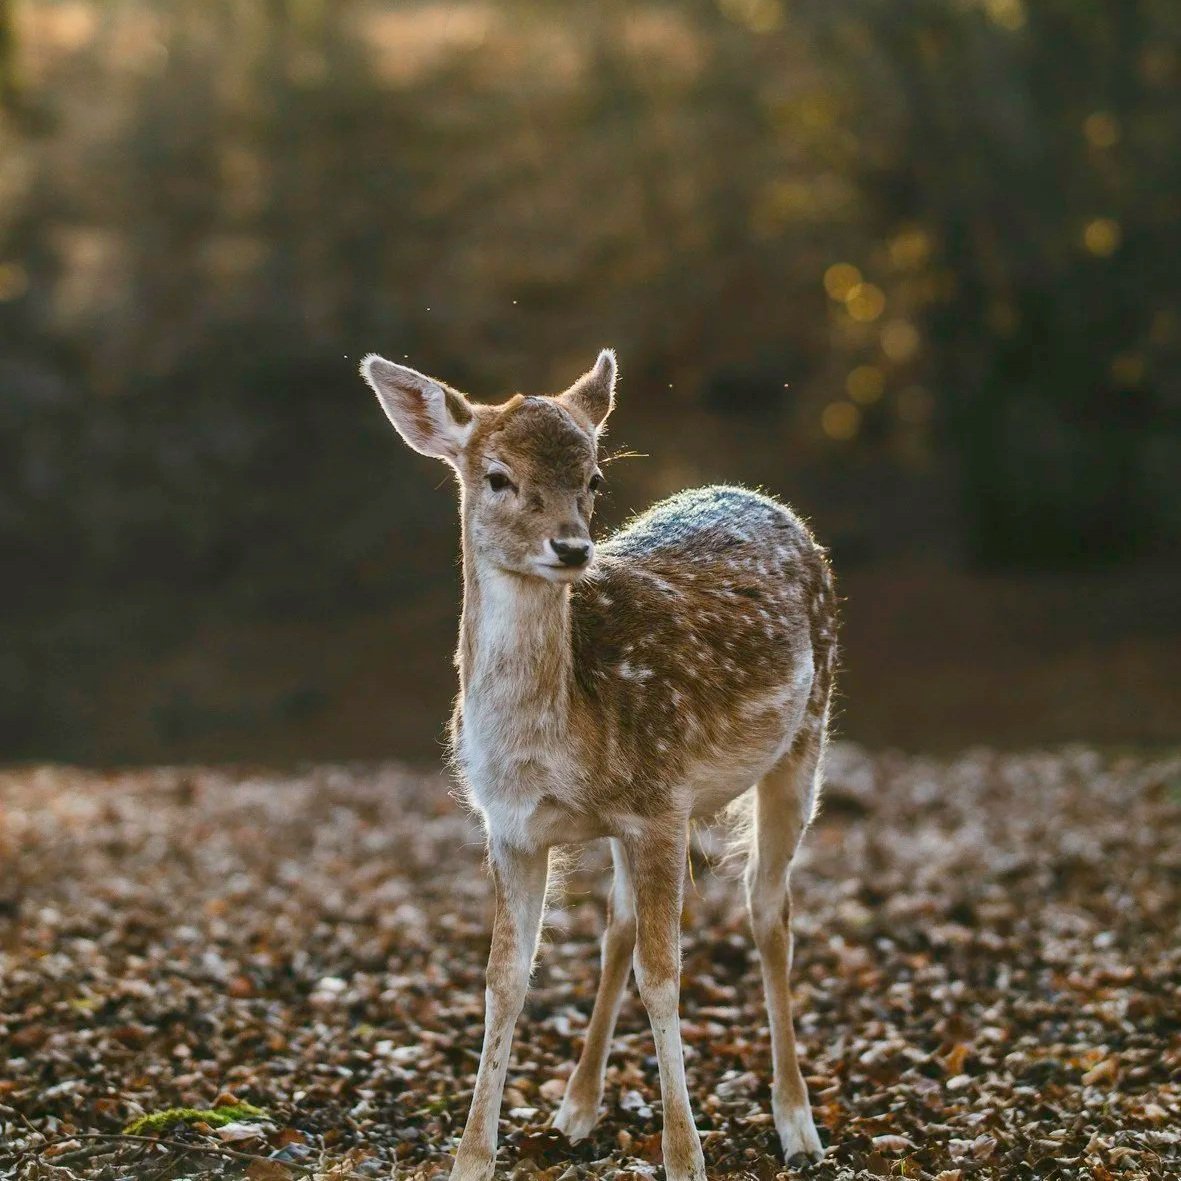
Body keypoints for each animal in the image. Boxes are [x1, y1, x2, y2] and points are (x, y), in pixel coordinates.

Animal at [360, 349, 837, 1181]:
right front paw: (471, 1156)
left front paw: (685, 1156)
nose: (573, 547)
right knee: (618, 924)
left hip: (805, 736)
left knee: (768, 911)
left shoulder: (662, 801)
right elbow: (505, 978)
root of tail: (767, 502)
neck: (550, 746)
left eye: (594, 479)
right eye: (497, 476)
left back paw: (797, 1123)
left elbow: (664, 975)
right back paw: (576, 1107)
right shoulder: (511, 827)